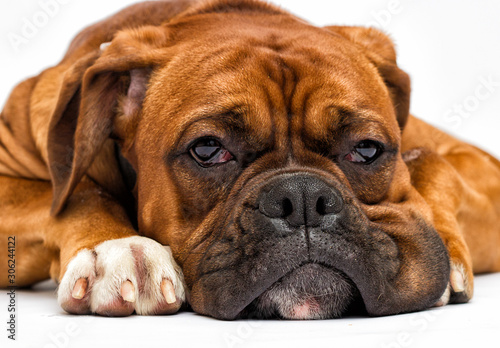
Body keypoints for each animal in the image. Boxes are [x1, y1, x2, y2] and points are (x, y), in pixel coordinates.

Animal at [0, 0, 500, 320]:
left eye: (367, 149)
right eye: (207, 149)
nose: (303, 199)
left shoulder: (481, 168)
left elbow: (432, 160)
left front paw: (448, 247)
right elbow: (75, 194)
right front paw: (118, 247)